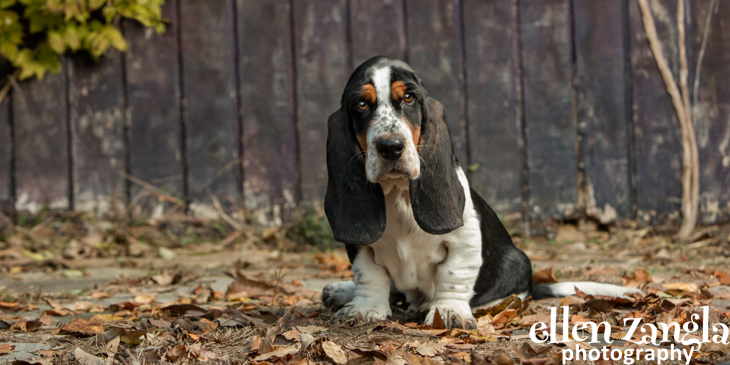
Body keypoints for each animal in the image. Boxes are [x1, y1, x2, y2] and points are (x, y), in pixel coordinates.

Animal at [320, 55, 636, 328]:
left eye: (409, 98)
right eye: (361, 104)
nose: (390, 147)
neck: (398, 193)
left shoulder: (465, 239)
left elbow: (454, 274)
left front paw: (447, 312)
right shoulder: (360, 244)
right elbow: (369, 275)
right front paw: (364, 309)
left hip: (518, 263)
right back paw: (342, 291)